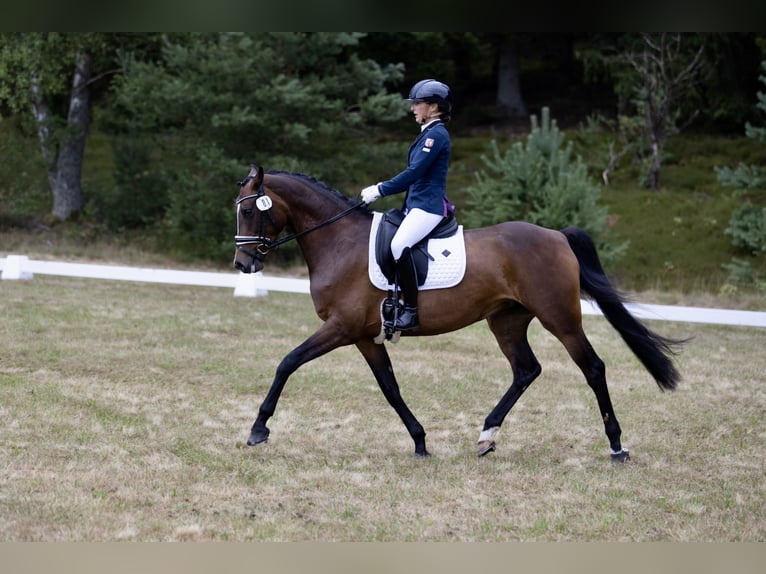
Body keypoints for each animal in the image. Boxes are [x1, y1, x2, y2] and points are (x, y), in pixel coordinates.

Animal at [233, 164, 686, 461]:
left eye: (250, 210)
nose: (242, 265)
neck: (339, 242)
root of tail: (556, 235)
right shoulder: (363, 335)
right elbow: (390, 387)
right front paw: (419, 441)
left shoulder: (341, 328)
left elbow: (287, 362)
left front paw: (259, 429)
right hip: (506, 320)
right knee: (526, 370)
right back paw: (487, 436)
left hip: (561, 318)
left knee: (592, 368)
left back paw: (617, 446)